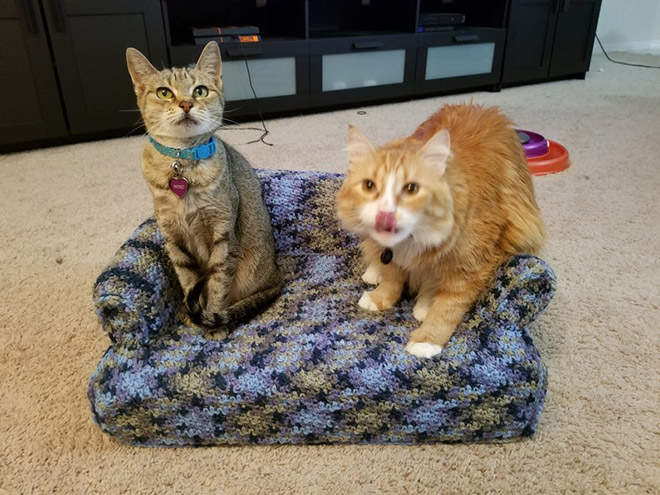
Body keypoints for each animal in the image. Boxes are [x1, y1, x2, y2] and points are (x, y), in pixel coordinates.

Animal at [125, 42, 282, 330]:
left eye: (200, 90)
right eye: (164, 92)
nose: (186, 104)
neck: (183, 165)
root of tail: (277, 275)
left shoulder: (222, 234)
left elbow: (218, 284)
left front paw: (213, 323)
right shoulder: (174, 239)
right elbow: (189, 281)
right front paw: (194, 317)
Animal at [338, 102, 544, 358]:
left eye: (411, 188)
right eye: (369, 185)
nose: (385, 214)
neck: (411, 242)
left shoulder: (472, 266)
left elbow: (448, 307)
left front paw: (427, 339)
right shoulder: (391, 256)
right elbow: (392, 279)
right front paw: (380, 298)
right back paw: (375, 271)